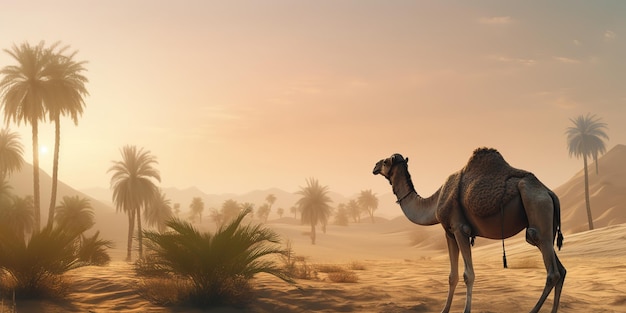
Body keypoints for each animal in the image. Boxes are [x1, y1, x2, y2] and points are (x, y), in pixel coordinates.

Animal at [370, 148, 564, 312]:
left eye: (386, 161)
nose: (375, 166)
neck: (435, 201)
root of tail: (550, 193)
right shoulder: (449, 232)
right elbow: (452, 276)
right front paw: (444, 310)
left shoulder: (460, 229)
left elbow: (468, 275)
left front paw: (465, 309)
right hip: (545, 225)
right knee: (560, 270)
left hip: (537, 207)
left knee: (552, 271)